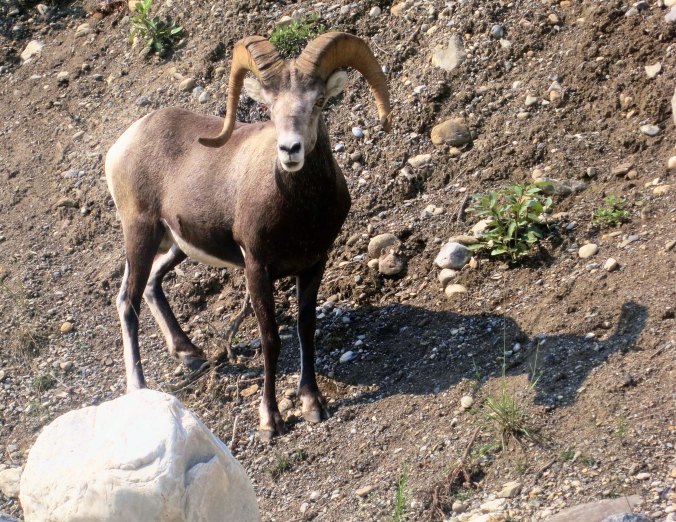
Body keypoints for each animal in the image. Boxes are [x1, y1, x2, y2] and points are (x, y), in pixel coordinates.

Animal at [105, 32, 391, 439]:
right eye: (269, 107)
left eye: (318, 101)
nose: (290, 150)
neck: (299, 213)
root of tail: (122, 145)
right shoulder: (256, 269)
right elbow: (270, 339)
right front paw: (271, 420)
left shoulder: (314, 264)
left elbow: (306, 328)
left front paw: (312, 404)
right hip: (140, 234)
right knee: (127, 300)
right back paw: (139, 387)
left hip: (177, 246)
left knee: (150, 285)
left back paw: (189, 353)